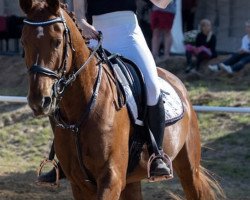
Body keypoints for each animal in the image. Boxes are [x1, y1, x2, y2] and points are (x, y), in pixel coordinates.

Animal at [19, 0, 223, 199]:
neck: (82, 106)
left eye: (57, 42)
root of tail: (177, 82)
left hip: (188, 168)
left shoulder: (111, 178)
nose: (39, 100)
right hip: (131, 181)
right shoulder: (79, 183)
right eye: (23, 42)